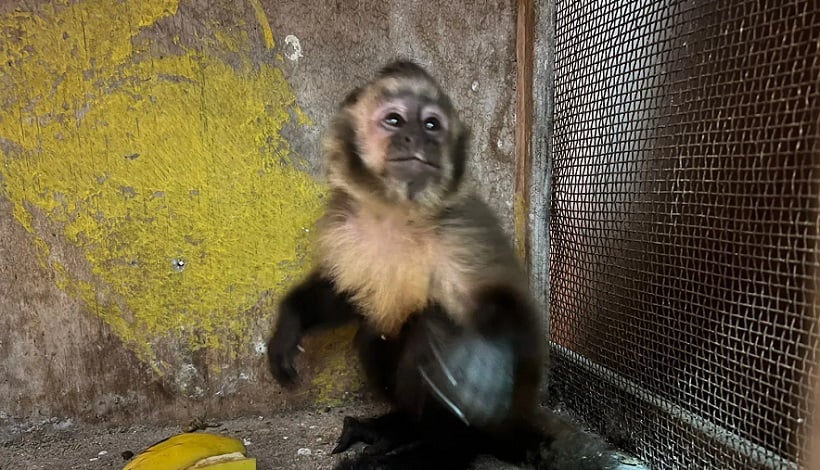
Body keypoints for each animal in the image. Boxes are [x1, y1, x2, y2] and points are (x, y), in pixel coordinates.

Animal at [266, 59, 617, 469]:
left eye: (432, 124)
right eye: (395, 120)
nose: (418, 139)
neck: (398, 213)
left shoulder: (463, 230)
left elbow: (512, 307)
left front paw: (486, 360)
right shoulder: (344, 225)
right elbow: (345, 293)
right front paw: (289, 326)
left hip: (502, 415)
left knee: (432, 326)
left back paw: (440, 450)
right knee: (377, 332)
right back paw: (399, 428)